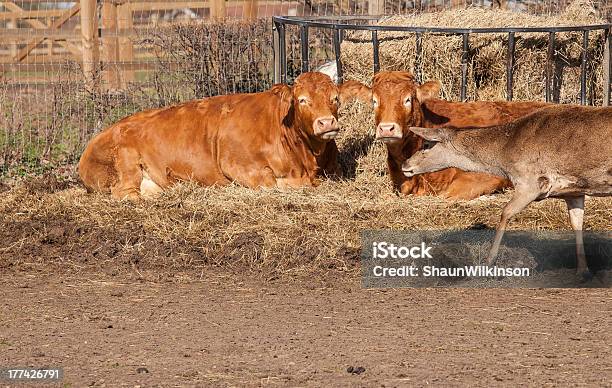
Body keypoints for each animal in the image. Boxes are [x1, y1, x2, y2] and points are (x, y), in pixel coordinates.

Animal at [79, 72, 360, 200]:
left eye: (335, 98)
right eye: (302, 100)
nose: (326, 122)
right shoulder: (238, 165)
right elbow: (273, 184)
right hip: (125, 163)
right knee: (125, 193)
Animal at [402, 104, 612, 278]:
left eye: (426, 145)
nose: (405, 165)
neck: (504, 156)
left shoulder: (531, 182)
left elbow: (505, 213)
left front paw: (488, 264)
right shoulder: (574, 191)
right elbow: (577, 223)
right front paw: (583, 271)